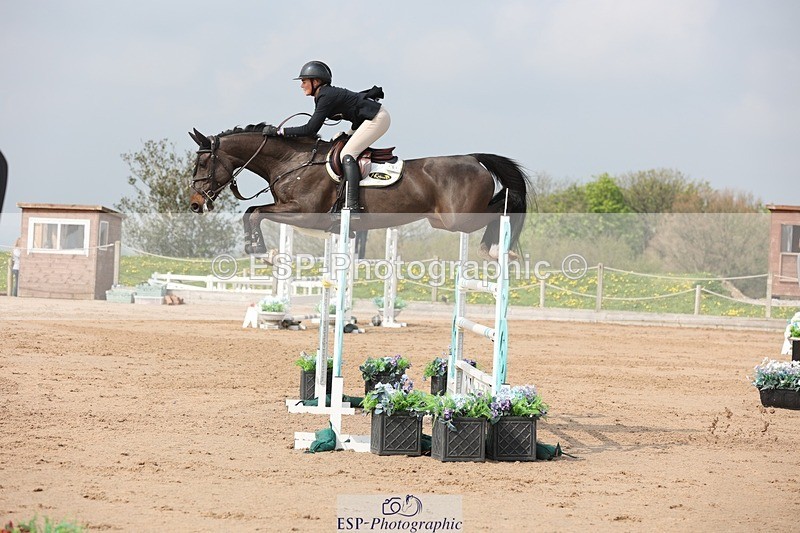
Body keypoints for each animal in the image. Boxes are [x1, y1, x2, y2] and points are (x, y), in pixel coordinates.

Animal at [188, 124, 530, 256]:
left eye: (203, 163)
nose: (194, 204)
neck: (293, 161)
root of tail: (474, 158)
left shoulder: (304, 214)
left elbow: (254, 212)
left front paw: (258, 248)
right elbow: (251, 212)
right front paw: (255, 247)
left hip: (458, 219)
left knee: (504, 204)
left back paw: (496, 250)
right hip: (443, 220)